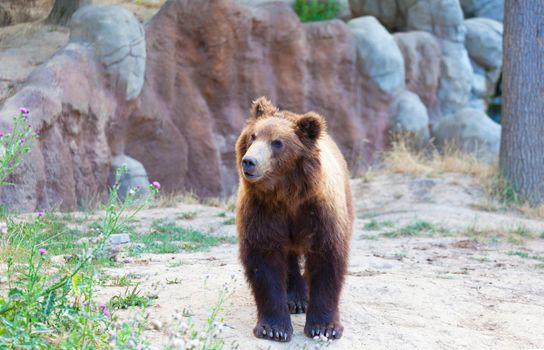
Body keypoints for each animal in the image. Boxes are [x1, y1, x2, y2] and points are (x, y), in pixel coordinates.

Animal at [236, 97, 354, 344]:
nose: (249, 161)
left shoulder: (318, 210)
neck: (286, 194)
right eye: (253, 136)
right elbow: (264, 260)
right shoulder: (262, 211)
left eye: (277, 143)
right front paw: (274, 328)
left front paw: (324, 327)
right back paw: (296, 297)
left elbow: (326, 258)